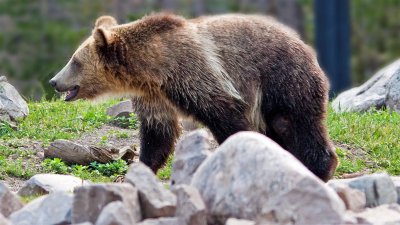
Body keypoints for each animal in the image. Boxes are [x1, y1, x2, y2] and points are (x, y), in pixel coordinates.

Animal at [49, 12, 338, 181]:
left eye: (75, 61)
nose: (54, 81)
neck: (152, 70)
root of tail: (306, 47)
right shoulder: (154, 97)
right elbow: (157, 134)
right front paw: (139, 168)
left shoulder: (195, 72)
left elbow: (226, 114)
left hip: (282, 79)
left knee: (295, 122)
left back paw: (319, 168)